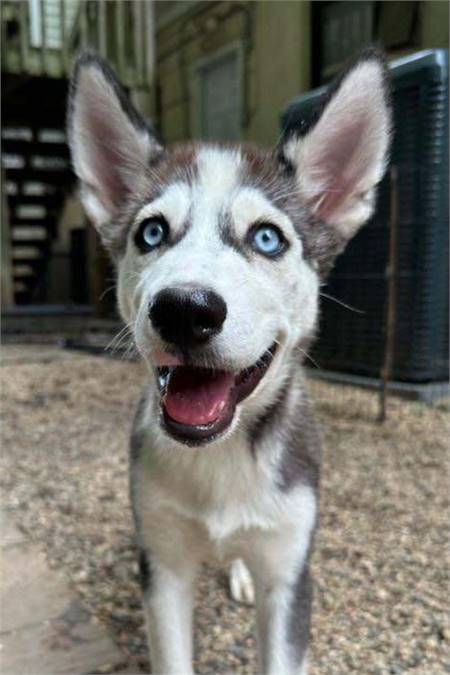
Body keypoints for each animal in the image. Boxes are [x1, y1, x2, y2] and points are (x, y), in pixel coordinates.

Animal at [67, 48, 390, 675]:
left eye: (267, 238)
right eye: (151, 232)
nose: (184, 310)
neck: (219, 457)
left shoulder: (290, 574)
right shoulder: (162, 568)